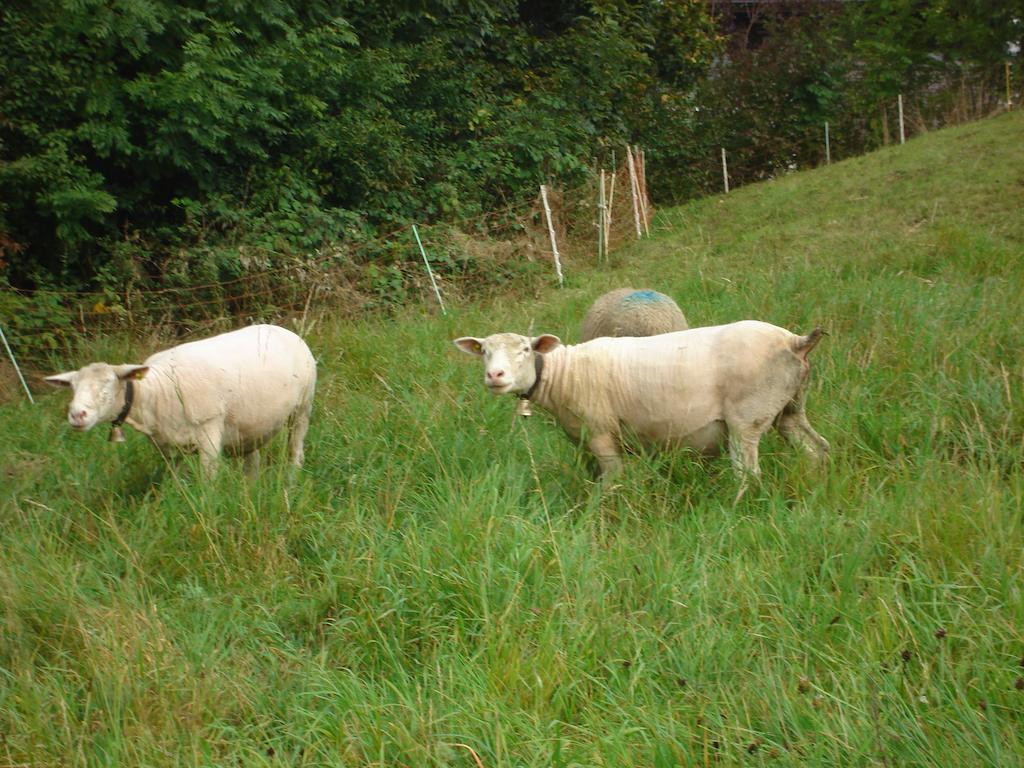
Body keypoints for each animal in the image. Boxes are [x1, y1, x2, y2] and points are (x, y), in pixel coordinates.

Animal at [45, 325, 315, 475]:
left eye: (108, 386)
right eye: (72, 388)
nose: (77, 415)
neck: (157, 391)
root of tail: (283, 330)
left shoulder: (209, 432)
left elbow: (207, 481)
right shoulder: (166, 446)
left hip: (303, 407)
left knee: (295, 450)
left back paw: (291, 480)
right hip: (251, 424)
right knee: (252, 461)